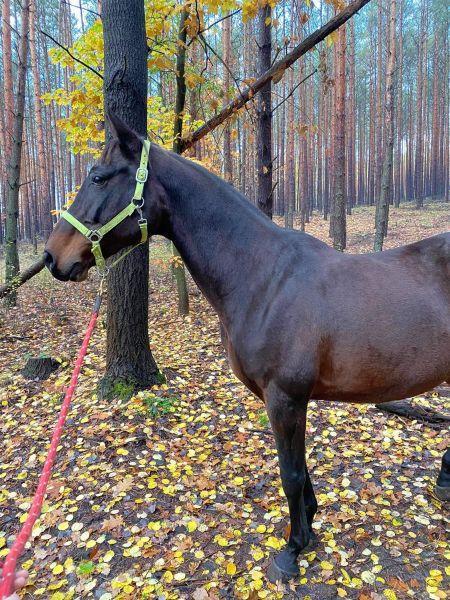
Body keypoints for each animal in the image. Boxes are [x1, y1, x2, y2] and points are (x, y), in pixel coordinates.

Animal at [44, 115, 450, 584]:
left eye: (98, 177)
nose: (52, 256)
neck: (263, 278)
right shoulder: (286, 400)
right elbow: (301, 468)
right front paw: (309, 524)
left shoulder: (285, 397)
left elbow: (290, 473)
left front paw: (293, 549)